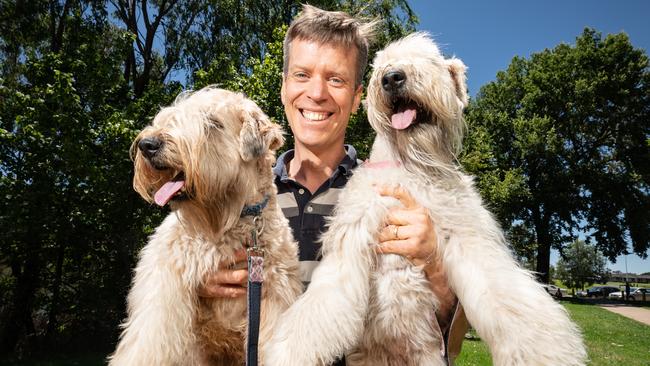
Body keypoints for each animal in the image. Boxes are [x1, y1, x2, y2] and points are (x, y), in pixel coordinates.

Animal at [260, 33, 584, 366]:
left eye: (429, 59)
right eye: (380, 65)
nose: (392, 77)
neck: (411, 166)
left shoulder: (468, 235)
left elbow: (506, 294)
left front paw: (545, 350)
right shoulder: (351, 239)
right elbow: (319, 307)